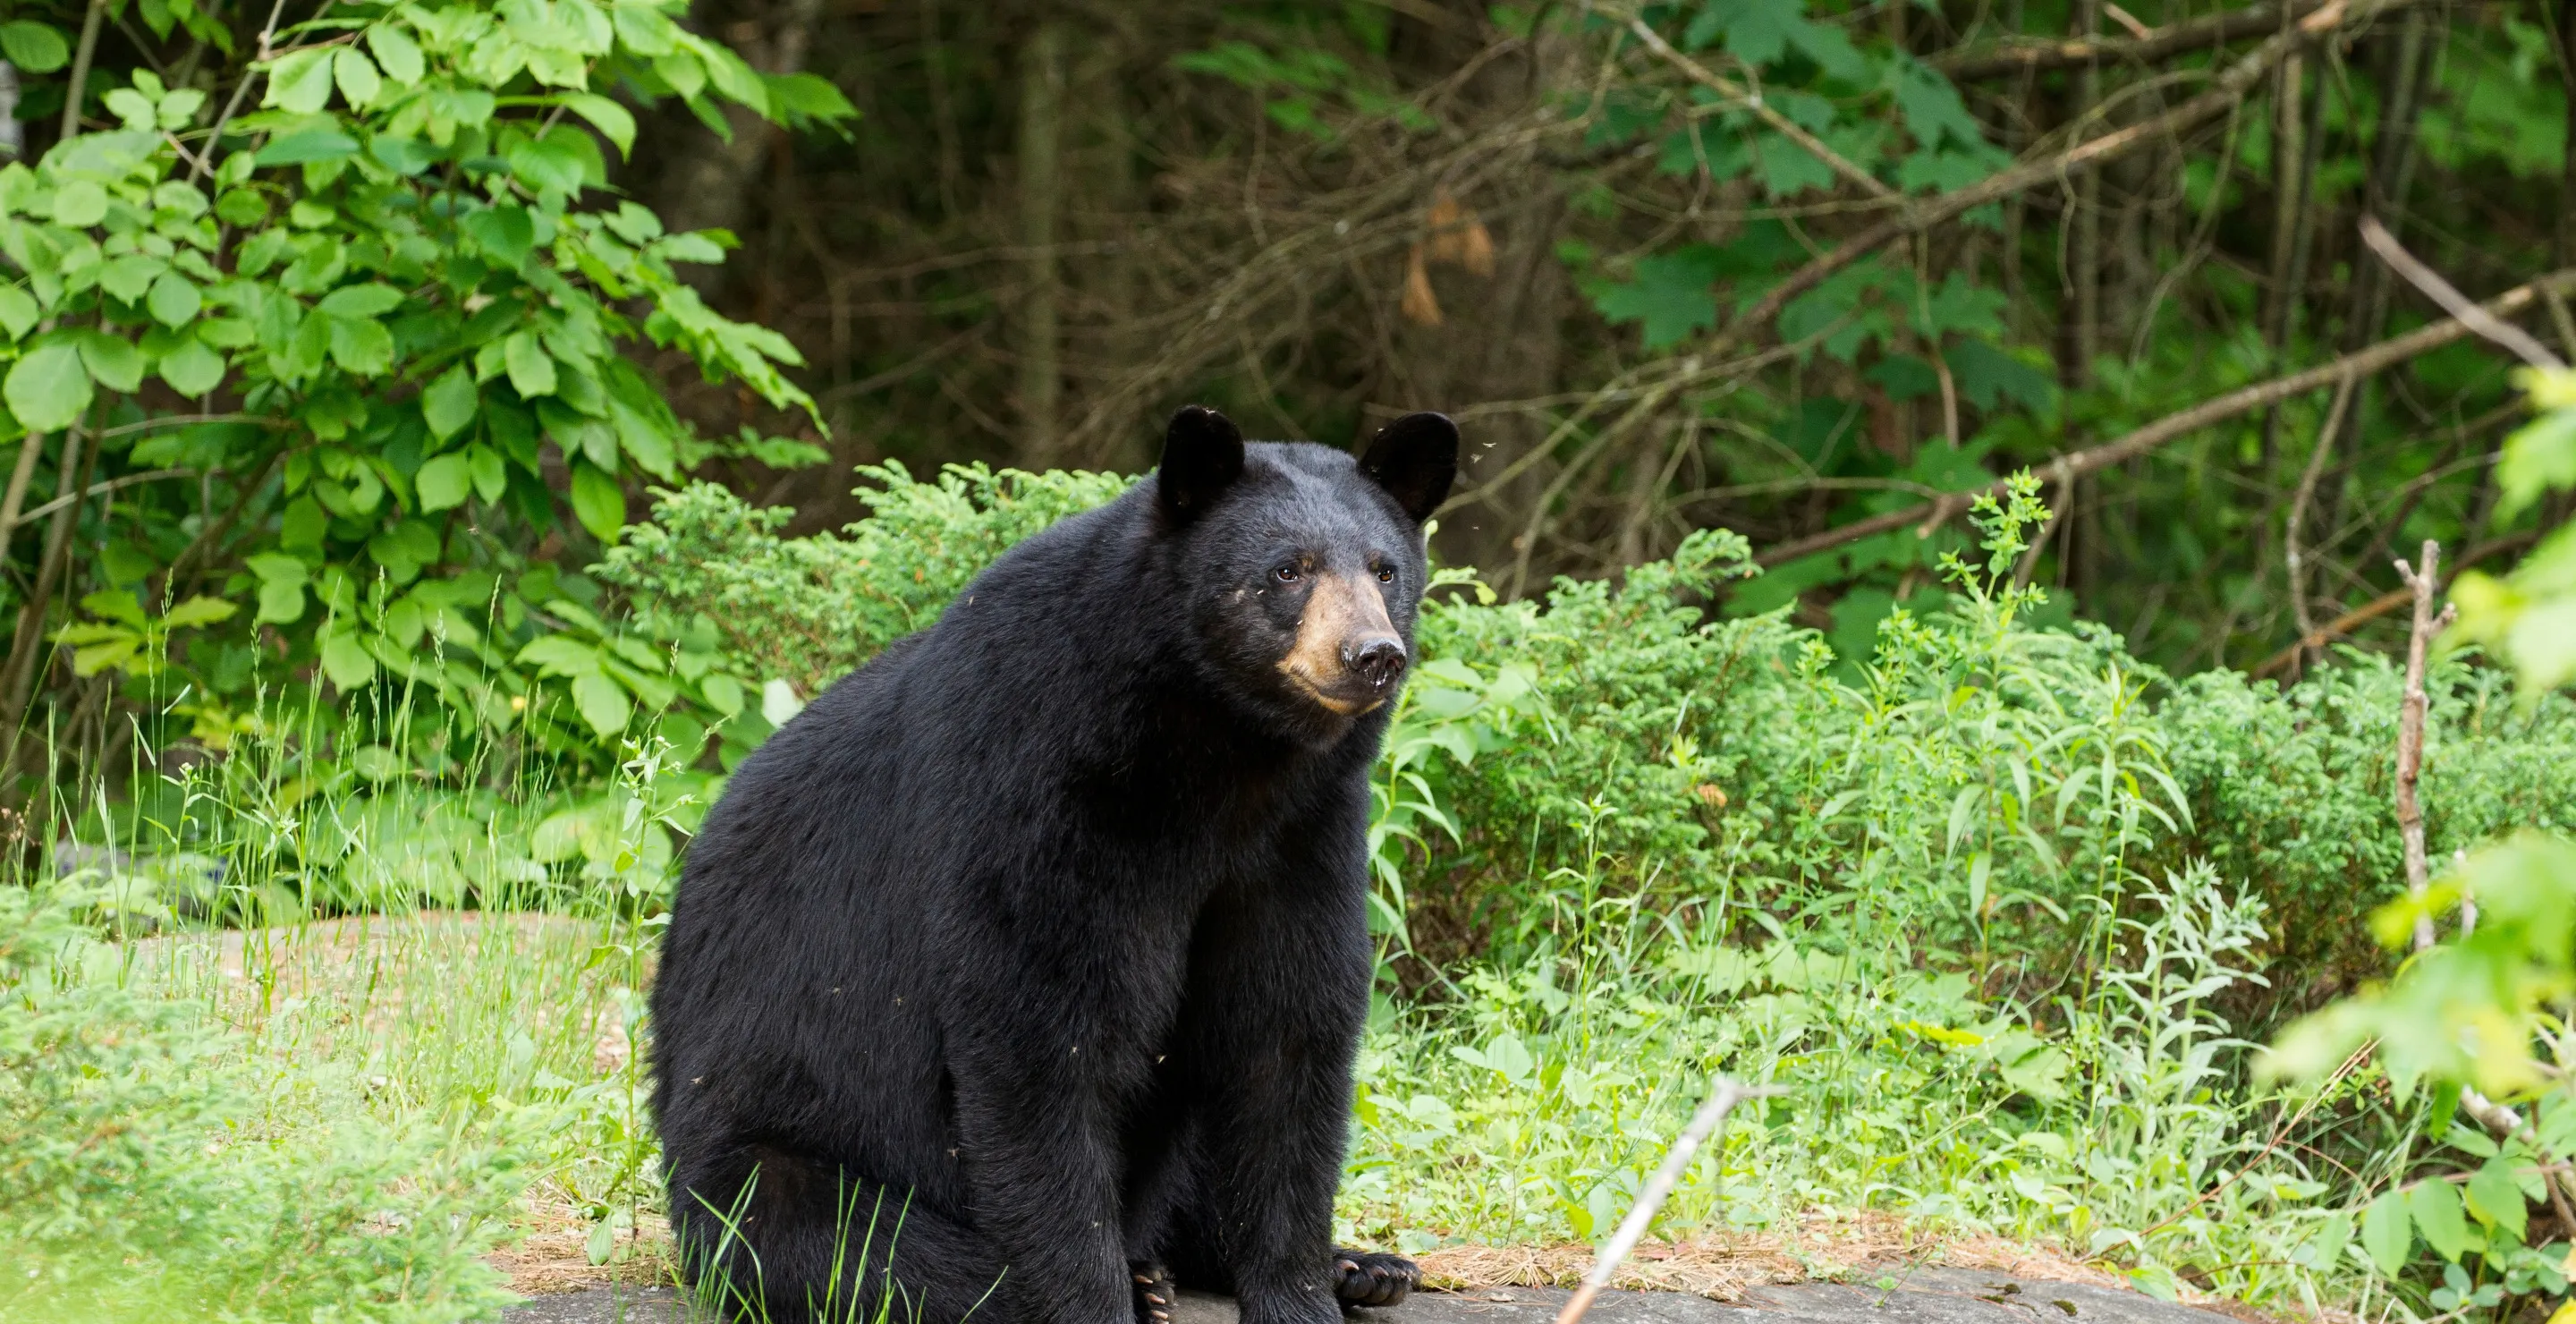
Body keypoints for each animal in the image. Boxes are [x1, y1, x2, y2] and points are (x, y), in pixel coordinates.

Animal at [654, 404, 1462, 1319]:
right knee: (853, 1244)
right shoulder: (1040, 790)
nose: (1372, 654)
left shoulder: (1299, 835)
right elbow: (1041, 1030)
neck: (1220, 757)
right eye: (1287, 570)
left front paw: (1298, 1289)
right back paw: (1131, 1279)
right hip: (767, 1135)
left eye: (1387, 570)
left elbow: (1287, 1028)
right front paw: (1093, 1294)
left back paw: (1363, 1266)